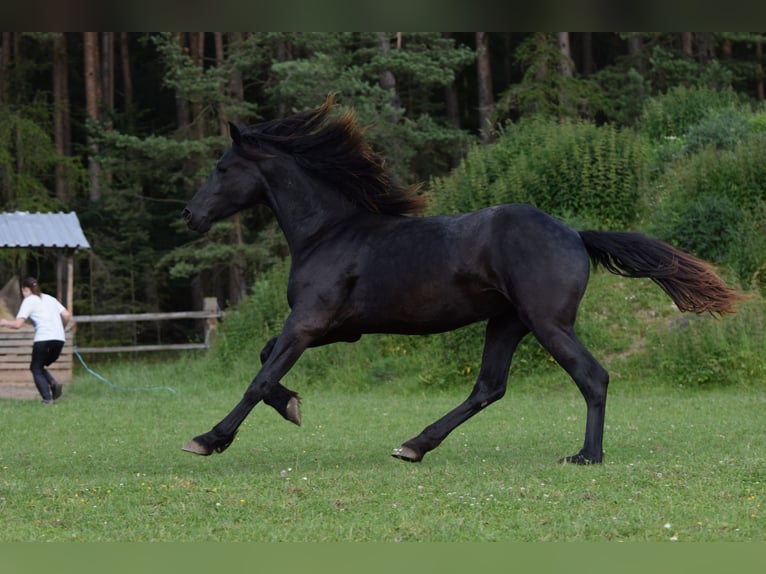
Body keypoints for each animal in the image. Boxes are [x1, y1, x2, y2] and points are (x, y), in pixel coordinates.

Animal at [183, 98, 740, 468]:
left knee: (592, 376)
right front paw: (293, 406)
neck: (329, 232)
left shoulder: (308, 322)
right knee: (489, 387)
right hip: (507, 322)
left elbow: (258, 377)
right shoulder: (335, 328)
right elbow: (264, 359)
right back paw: (414, 445)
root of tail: (575, 234)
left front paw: (209, 438)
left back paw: (587, 455)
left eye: (223, 167)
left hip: (548, 323)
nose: (190, 215)